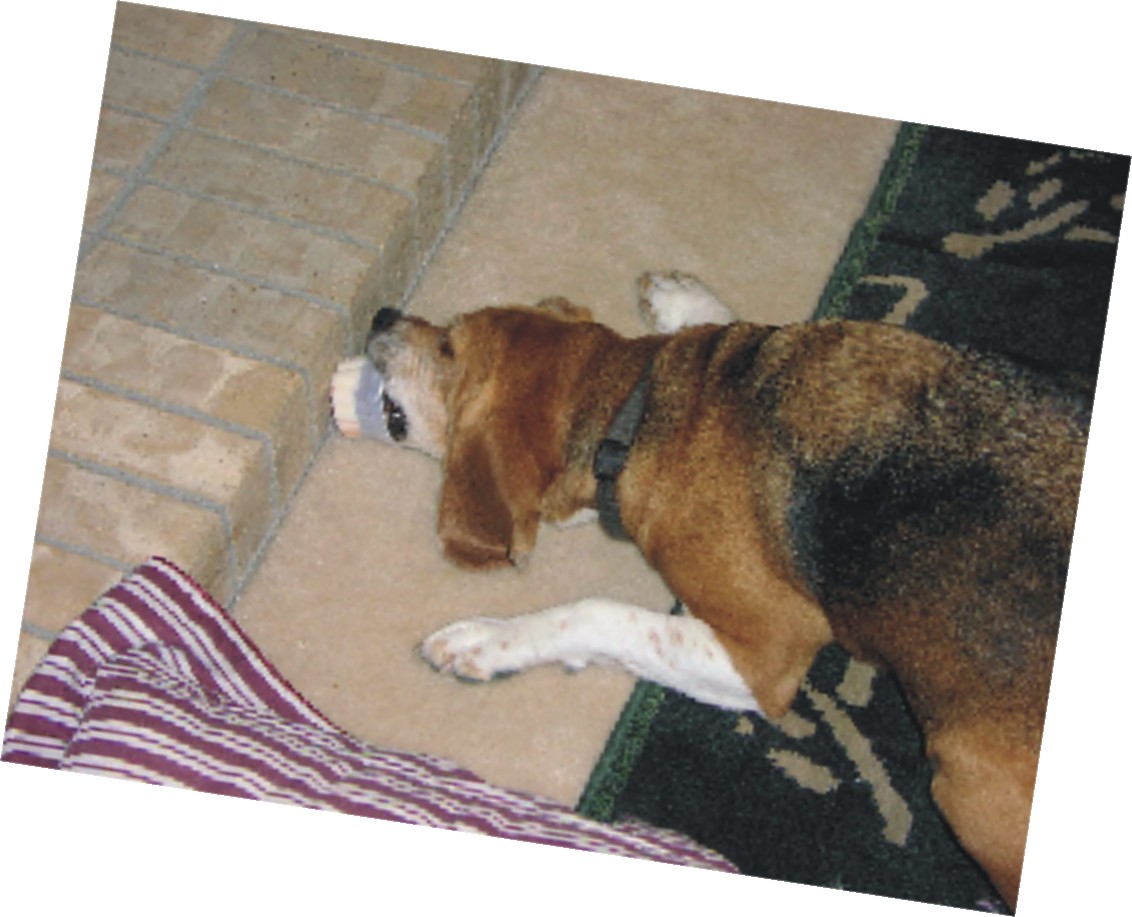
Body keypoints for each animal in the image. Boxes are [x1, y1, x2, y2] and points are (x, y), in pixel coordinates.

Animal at [330, 268, 1086, 905]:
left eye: (449, 342)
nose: (383, 312)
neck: (635, 410)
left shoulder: (766, 652)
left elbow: (596, 613)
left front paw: (489, 639)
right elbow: (725, 332)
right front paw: (683, 299)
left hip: (964, 779)